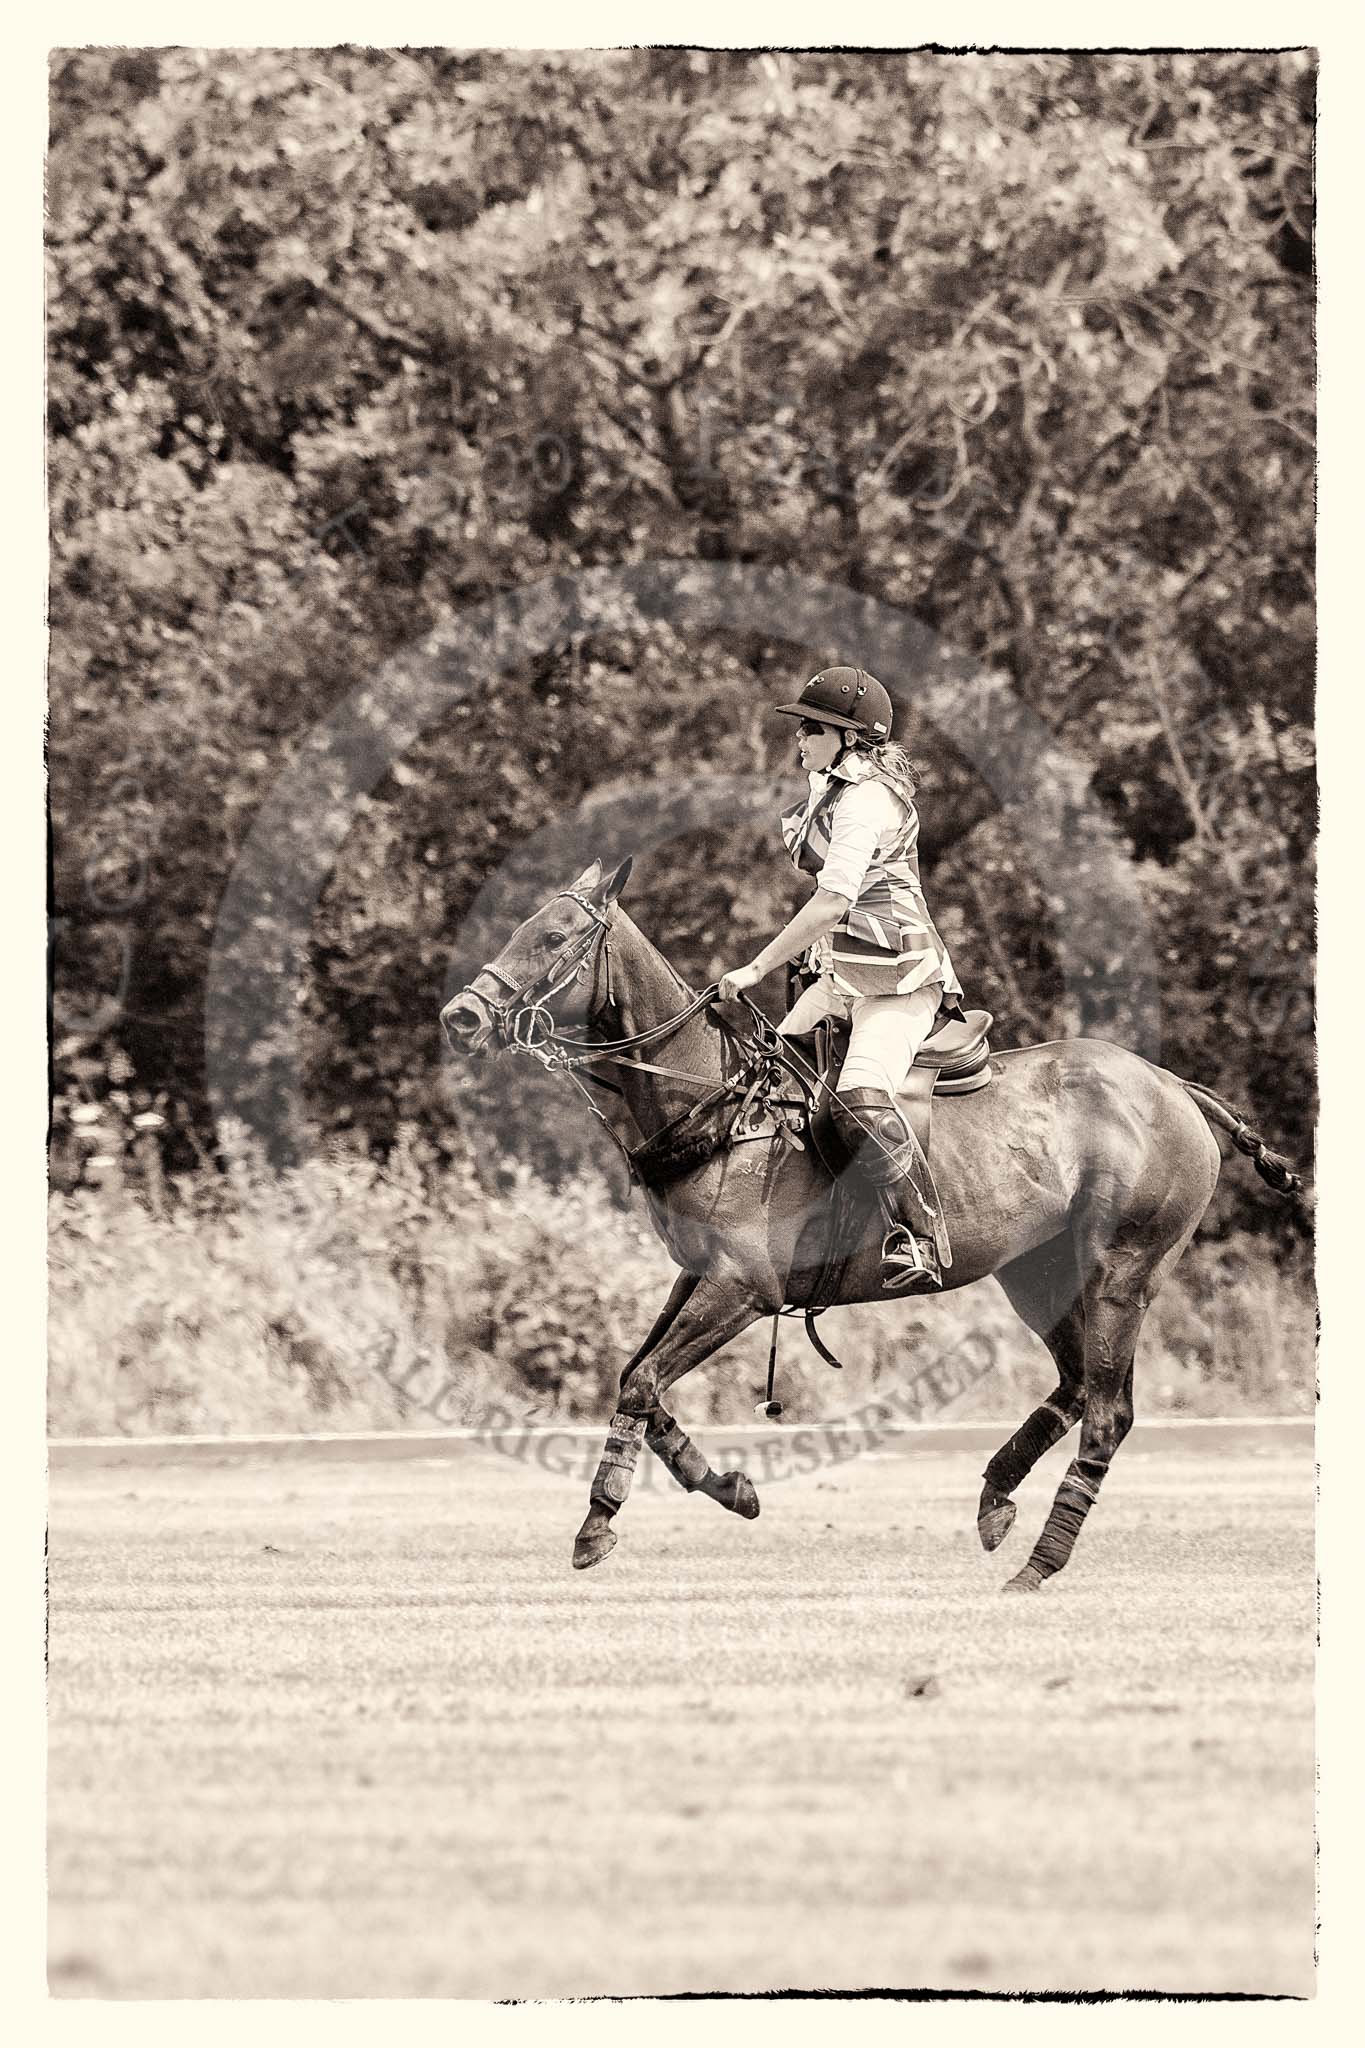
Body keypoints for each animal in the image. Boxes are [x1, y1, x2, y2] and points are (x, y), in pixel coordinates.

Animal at [444, 856, 1309, 1589]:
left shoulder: (741, 1289)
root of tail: (1173, 1086)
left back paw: (1038, 1563)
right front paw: (729, 1488)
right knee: (1075, 1389)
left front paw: (600, 1521)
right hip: (1037, 1273)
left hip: (1121, 1268)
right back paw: (995, 1498)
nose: (460, 1017)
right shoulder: (696, 1277)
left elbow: (643, 1382)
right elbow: (638, 1383)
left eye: (552, 937)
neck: (712, 1107)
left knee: (1107, 1413)